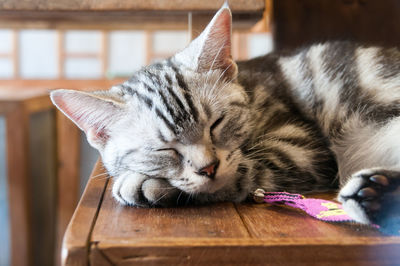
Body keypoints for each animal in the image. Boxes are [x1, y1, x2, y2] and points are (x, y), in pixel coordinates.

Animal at [50, 5, 400, 232]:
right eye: (165, 150)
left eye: (216, 123)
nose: (208, 167)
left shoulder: (301, 147)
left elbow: (242, 173)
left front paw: (139, 183)